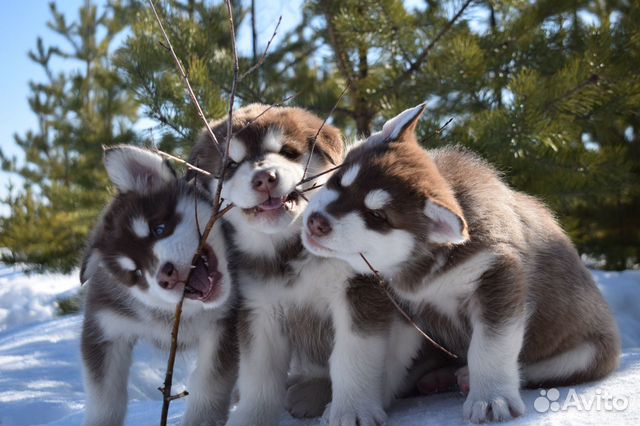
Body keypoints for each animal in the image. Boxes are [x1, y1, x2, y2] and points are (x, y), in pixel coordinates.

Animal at [81, 146, 236, 426]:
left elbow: (209, 386)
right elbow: (103, 400)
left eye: (159, 229)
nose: (167, 275)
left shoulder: (225, 323)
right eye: (136, 273)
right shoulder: (104, 327)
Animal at [302, 105, 624, 424]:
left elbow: (490, 347)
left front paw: (491, 399)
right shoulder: (403, 306)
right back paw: (438, 377)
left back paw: (468, 377)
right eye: (338, 182)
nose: (316, 222)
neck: (432, 260)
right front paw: (358, 404)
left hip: (589, 351)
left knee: (538, 367)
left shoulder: (497, 276)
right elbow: (380, 356)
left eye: (378, 216)